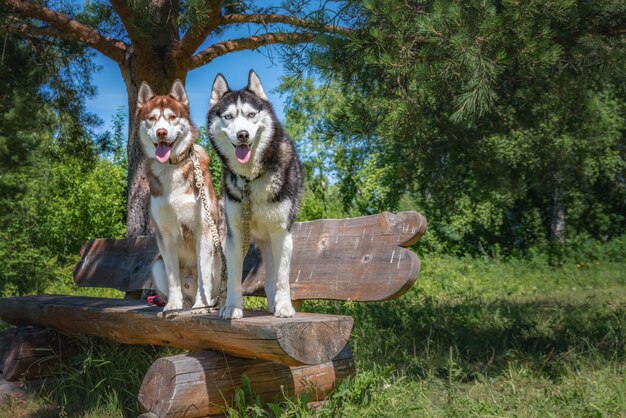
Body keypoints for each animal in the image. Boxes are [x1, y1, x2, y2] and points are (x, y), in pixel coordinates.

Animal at [138, 79, 221, 314]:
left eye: (172, 117)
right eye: (151, 118)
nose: (161, 132)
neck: (171, 168)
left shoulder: (204, 228)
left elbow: (203, 275)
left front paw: (201, 306)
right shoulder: (164, 234)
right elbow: (172, 275)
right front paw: (173, 305)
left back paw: (207, 305)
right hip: (155, 264)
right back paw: (181, 305)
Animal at [207, 70, 302, 318]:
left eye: (251, 114)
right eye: (228, 117)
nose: (242, 134)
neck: (251, 179)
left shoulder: (282, 233)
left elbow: (281, 278)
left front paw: (284, 306)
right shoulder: (234, 236)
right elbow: (233, 278)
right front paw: (232, 307)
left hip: (272, 241)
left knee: (271, 278)